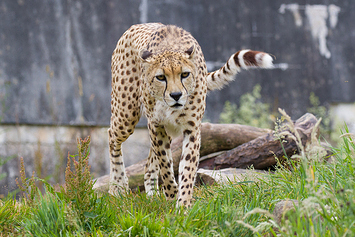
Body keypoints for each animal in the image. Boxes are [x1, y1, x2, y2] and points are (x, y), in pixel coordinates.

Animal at [108, 22, 272, 207]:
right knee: (112, 137)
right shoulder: (156, 125)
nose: (176, 95)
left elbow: (187, 168)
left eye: (184, 74)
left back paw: (153, 195)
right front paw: (173, 194)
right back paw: (117, 186)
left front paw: (183, 204)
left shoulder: (191, 128)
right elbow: (165, 164)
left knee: (149, 162)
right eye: (161, 77)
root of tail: (137, 25)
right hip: (126, 113)